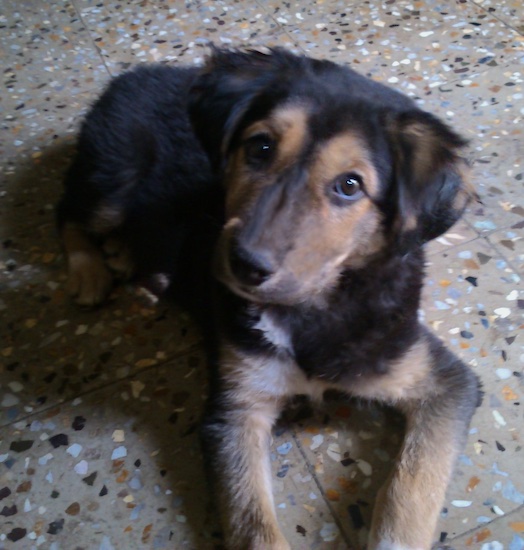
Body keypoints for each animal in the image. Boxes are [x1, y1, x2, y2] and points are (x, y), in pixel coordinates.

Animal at [58, 48, 484, 550]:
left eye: (350, 185)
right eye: (259, 147)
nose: (244, 264)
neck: (312, 305)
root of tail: (141, 72)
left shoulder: (442, 381)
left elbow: (412, 487)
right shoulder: (237, 409)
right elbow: (252, 522)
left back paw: (129, 261)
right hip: (113, 176)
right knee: (67, 209)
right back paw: (91, 270)